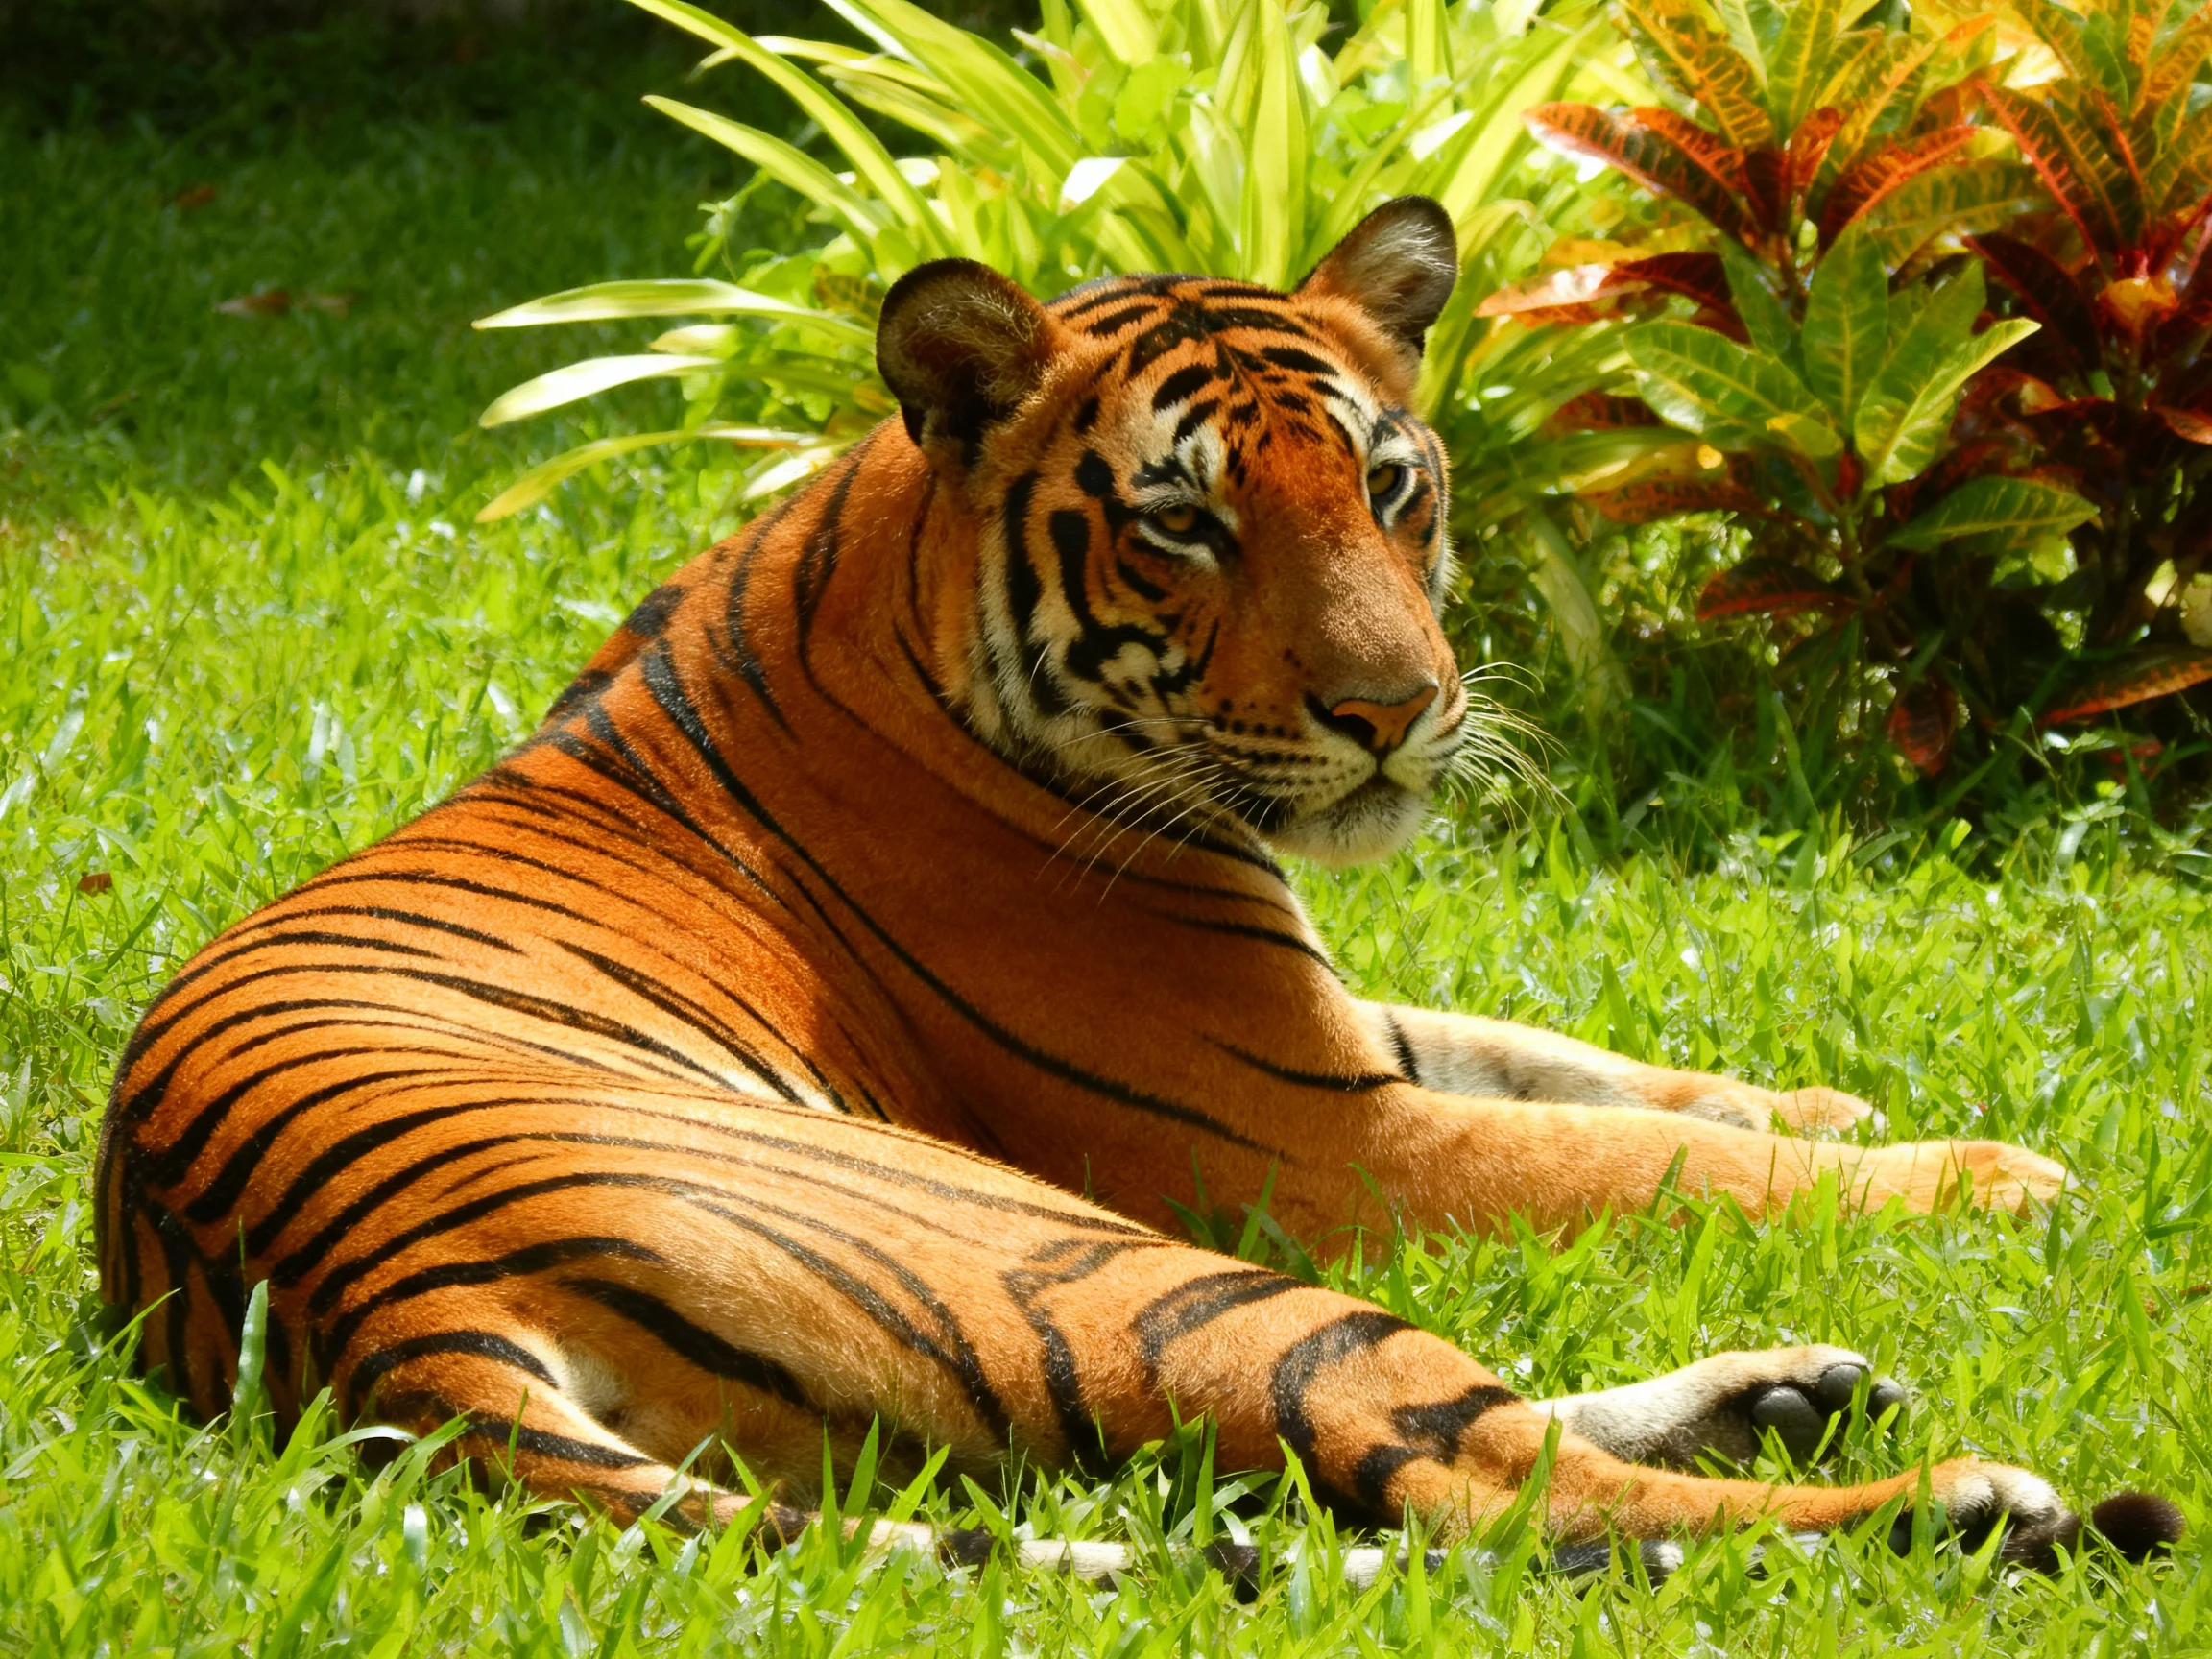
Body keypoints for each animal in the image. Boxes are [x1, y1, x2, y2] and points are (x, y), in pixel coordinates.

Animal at [96, 196, 2178, 1578]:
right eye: (1184, 521)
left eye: (1389, 485)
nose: (1397, 713)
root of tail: (382, 1308)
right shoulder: (1319, 1140)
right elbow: (1645, 1156)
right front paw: (1997, 1178)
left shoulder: (1333, 1027)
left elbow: (1584, 1061)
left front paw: (1825, 1100)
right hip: (1116, 1261)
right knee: (1490, 1484)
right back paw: (1971, 1499)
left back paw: (1796, 1389)